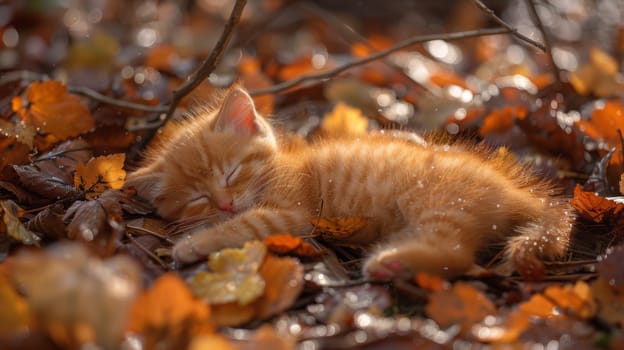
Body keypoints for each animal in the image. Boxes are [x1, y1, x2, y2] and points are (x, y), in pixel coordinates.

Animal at [125, 87, 576, 278]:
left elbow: (248, 224)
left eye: (232, 173)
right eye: (198, 197)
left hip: (439, 202)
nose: (225, 204)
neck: (279, 165)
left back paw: (390, 262)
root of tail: (514, 192)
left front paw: (195, 243)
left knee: (456, 253)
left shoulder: (293, 213)